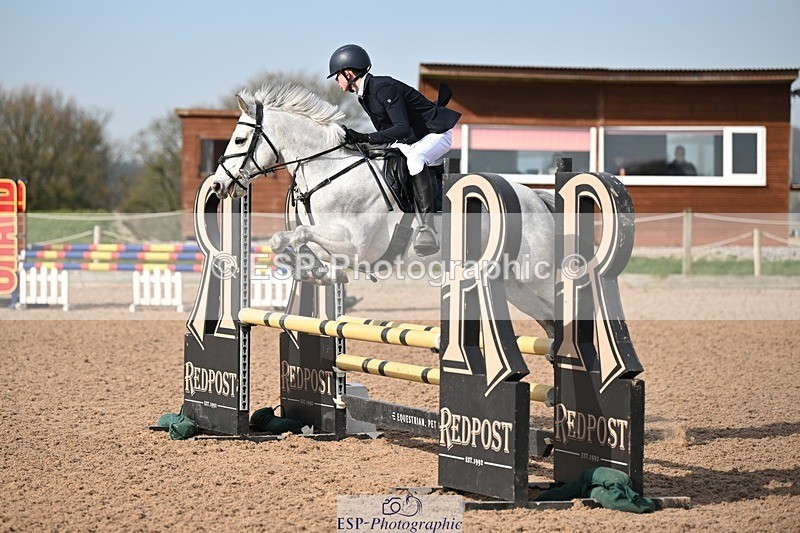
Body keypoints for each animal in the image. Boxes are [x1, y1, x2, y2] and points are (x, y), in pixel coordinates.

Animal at [211, 82, 557, 337]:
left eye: (239, 139)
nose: (217, 185)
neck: (329, 169)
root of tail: (537, 199)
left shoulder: (355, 243)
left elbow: (295, 235)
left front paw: (311, 269)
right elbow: (292, 242)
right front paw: (316, 273)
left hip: (536, 276)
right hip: (514, 285)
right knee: (550, 323)